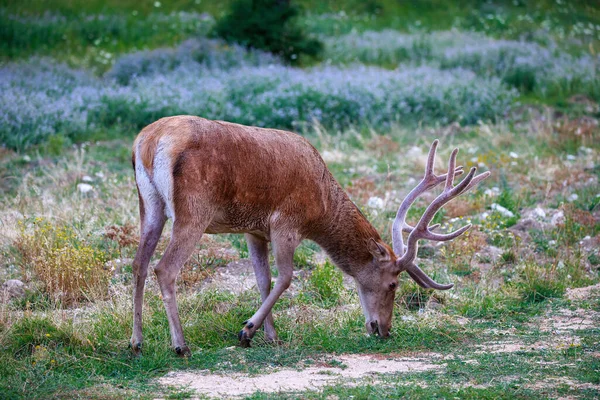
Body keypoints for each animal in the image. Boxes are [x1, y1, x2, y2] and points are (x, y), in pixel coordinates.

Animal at [129, 115, 490, 356]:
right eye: (393, 284)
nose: (385, 330)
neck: (321, 208)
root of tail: (148, 142)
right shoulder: (286, 222)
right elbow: (287, 278)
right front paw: (247, 331)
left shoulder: (254, 230)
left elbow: (263, 279)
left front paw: (269, 335)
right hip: (194, 210)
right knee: (165, 268)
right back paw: (180, 346)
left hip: (149, 205)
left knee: (139, 264)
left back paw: (137, 342)